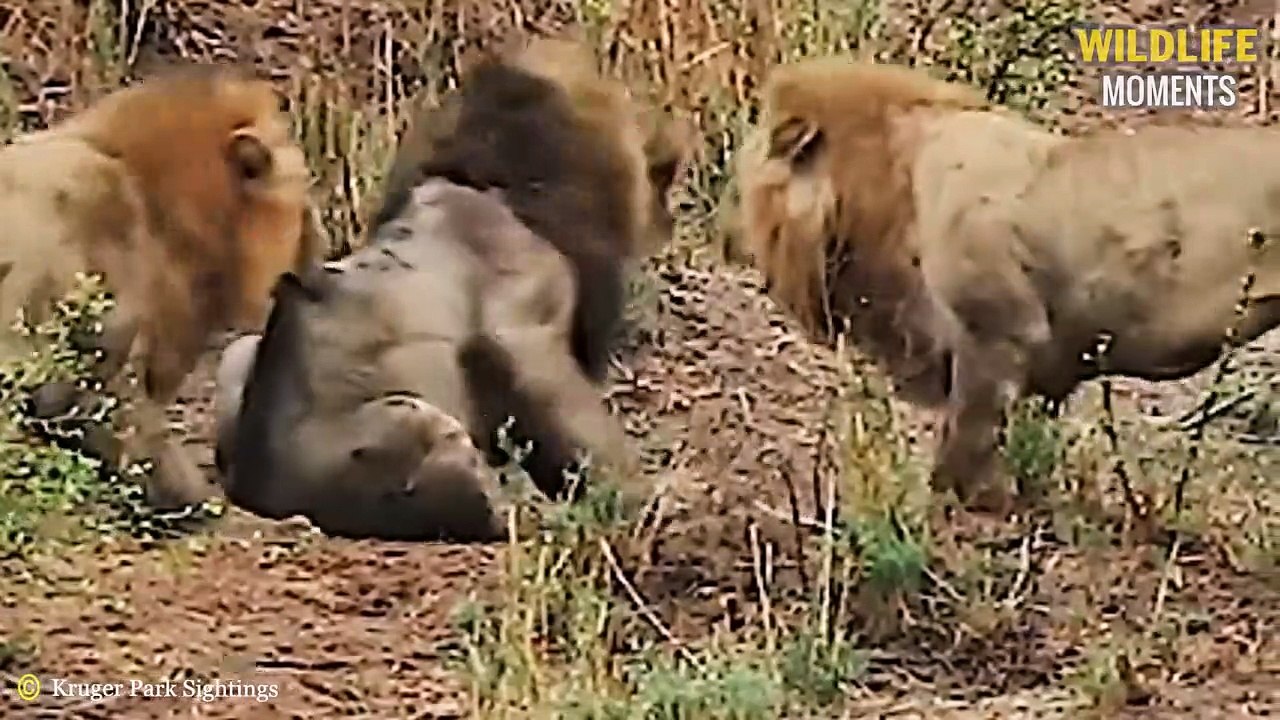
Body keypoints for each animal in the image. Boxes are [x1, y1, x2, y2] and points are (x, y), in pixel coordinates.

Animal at [213, 38, 690, 540]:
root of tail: (253, 489)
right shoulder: (521, 329)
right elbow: (577, 420)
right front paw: (643, 495)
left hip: (239, 352)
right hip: (410, 420)